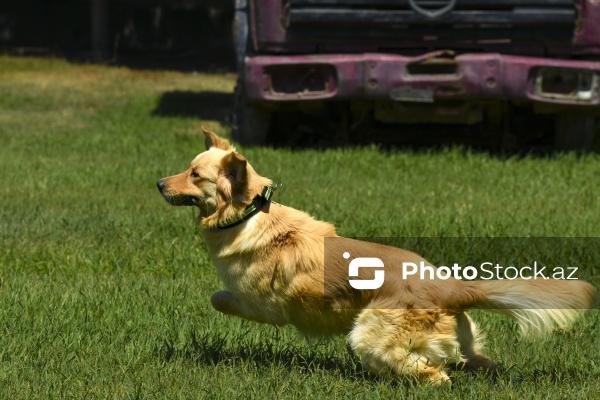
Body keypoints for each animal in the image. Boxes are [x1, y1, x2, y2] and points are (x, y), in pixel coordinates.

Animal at [158, 129, 596, 384]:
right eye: (188, 167)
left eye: (196, 176)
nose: (159, 182)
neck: (250, 215)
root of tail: (452, 287)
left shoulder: (263, 306)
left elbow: (219, 297)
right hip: (463, 342)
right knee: (480, 362)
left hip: (369, 335)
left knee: (434, 374)